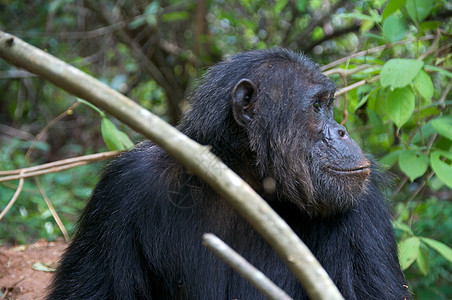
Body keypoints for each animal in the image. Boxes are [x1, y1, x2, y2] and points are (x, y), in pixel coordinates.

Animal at [46, 48, 410, 298]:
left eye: (329, 104)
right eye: (317, 106)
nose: (341, 131)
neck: (244, 181)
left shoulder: (365, 208)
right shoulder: (122, 189)